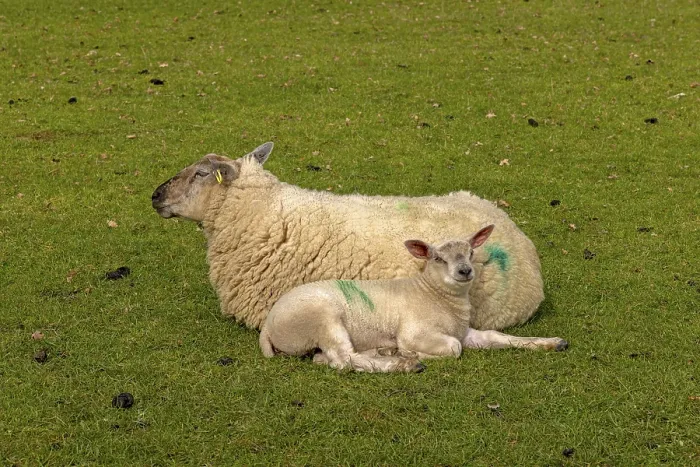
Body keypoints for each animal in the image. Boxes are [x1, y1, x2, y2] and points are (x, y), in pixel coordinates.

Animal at [259, 225, 568, 373]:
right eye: (438, 258)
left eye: (470, 252)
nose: (465, 271)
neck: (435, 296)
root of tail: (268, 325)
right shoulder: (416, 332)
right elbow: (454, 348)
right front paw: (409, 354)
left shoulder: (464, 330)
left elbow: (495, 336)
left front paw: (552, 343)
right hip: (322, 317)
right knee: (342, 359)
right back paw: (403, 364)